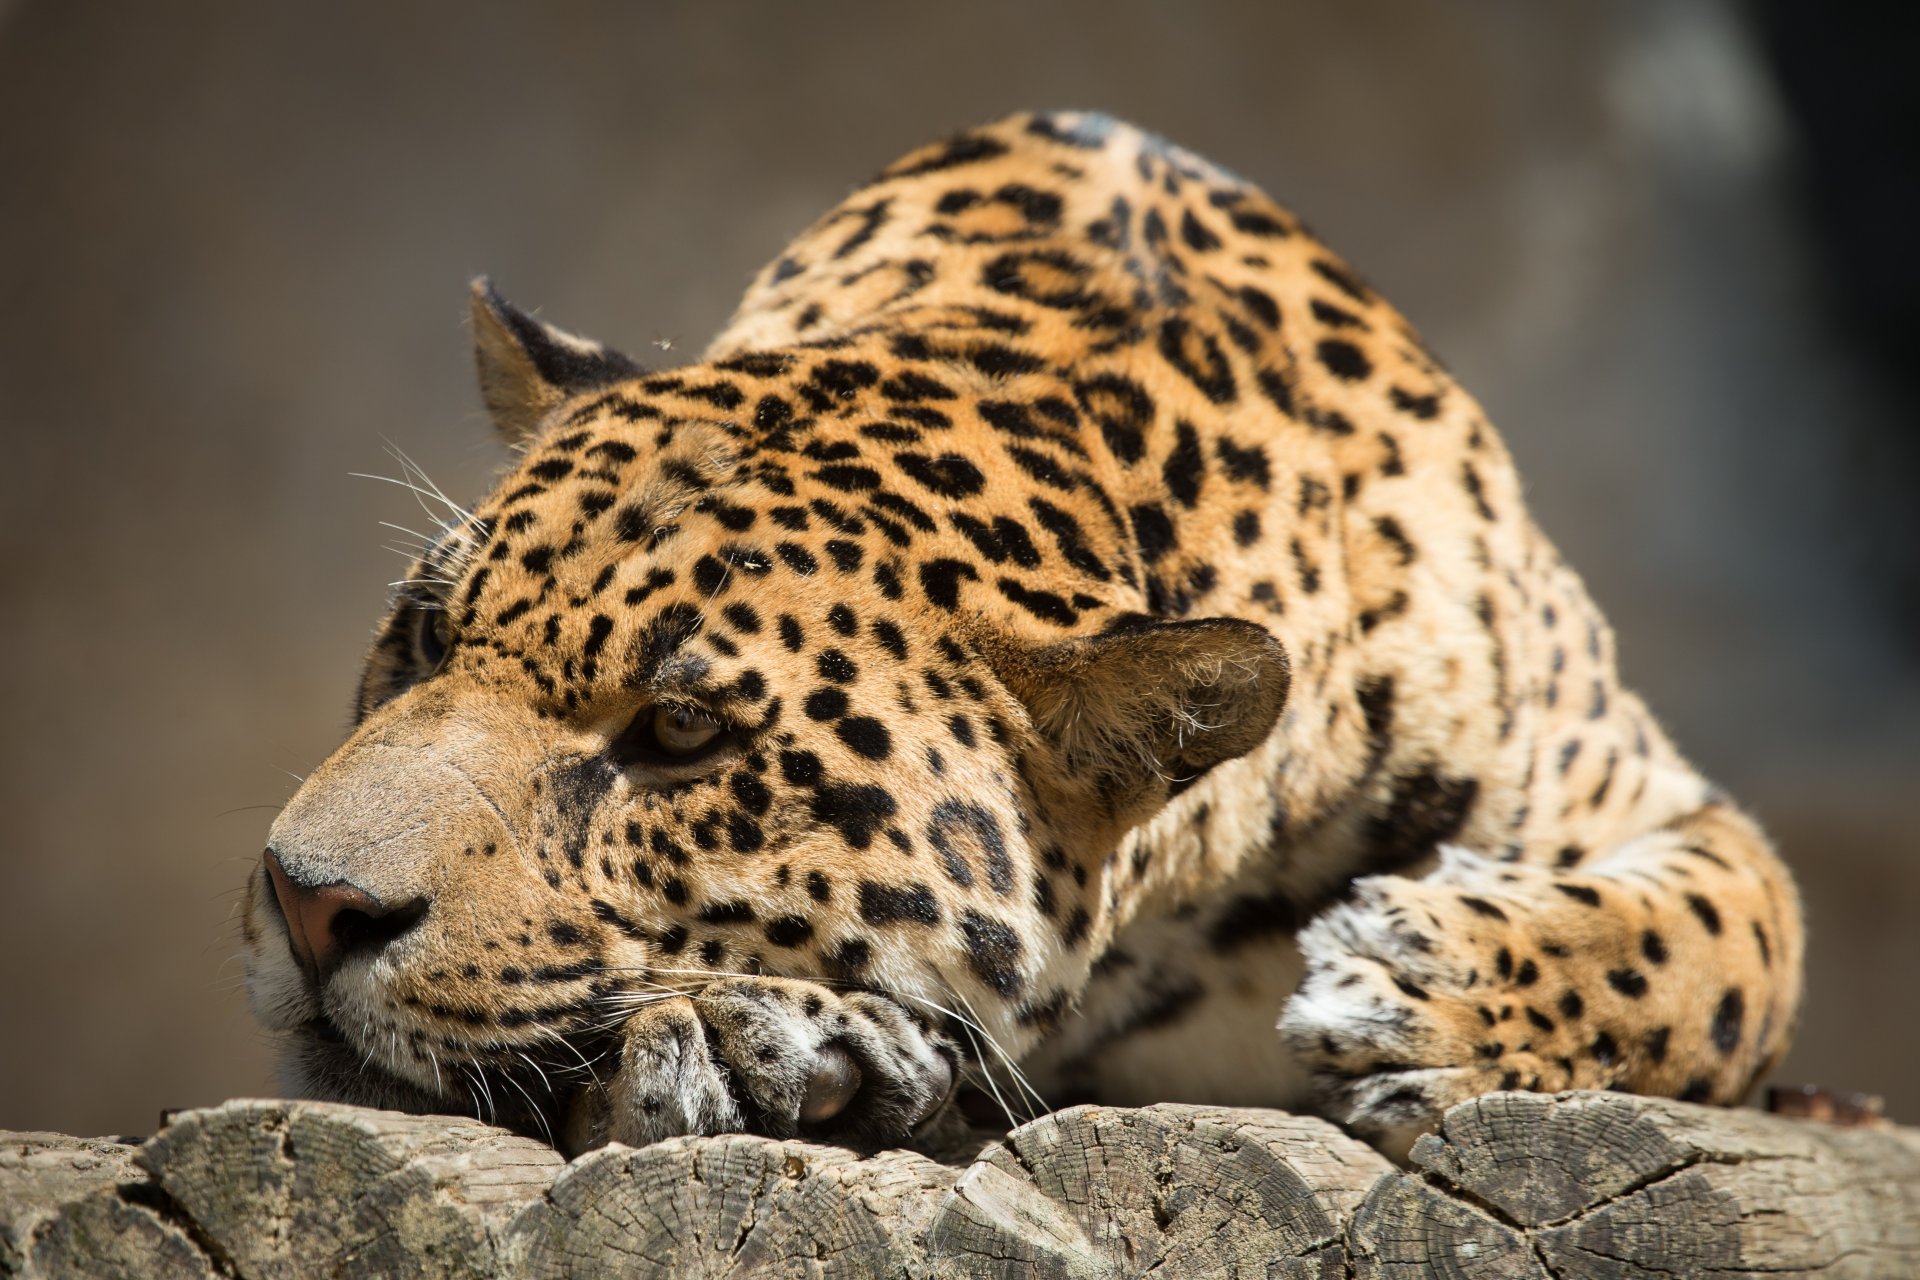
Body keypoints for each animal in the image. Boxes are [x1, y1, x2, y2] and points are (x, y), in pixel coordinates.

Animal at [240, 110, 1804, 1156]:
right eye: (425, 637)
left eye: (680, 732)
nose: (309, 901)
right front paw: (776, 1039)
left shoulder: (1645, 789)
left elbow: (1729, 946)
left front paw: (1414, 994)